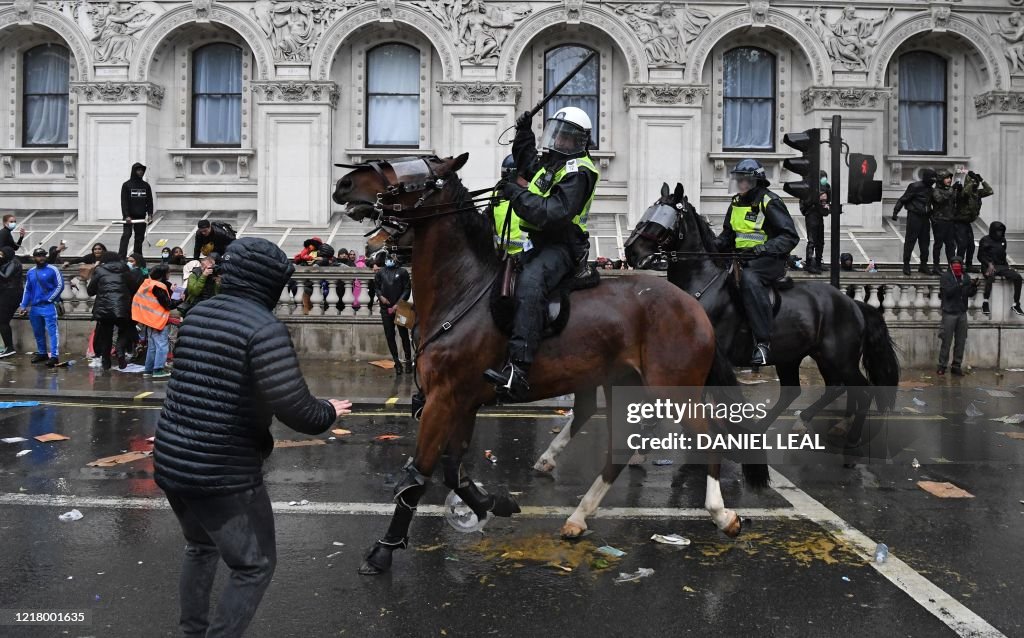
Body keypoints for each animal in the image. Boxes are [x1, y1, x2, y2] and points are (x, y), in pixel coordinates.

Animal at [331, 155, 749, 577]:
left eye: (416, 174)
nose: (345, 184)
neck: (464, 290)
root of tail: (693, 305)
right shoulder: (462, 401)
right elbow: (452, 469)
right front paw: (492, 504)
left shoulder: (444, 399)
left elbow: (419, 475)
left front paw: (384, 550)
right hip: (624, 384)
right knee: (617, 445)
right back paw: (578, 515)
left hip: (674, 389)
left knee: (705, 435)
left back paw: (721, 513)